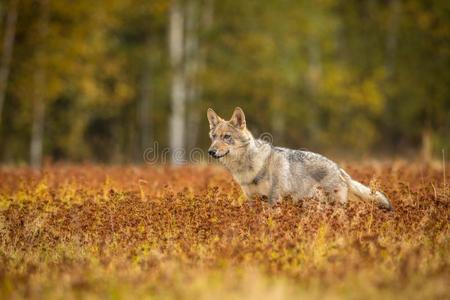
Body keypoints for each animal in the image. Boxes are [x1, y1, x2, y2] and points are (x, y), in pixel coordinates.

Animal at [208, 106, 394, 210]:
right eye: (214, 137)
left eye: (226, 137)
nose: (210, 151)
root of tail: (338, 168)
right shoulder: (252, 201)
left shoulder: (274, 200)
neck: (247, 167)